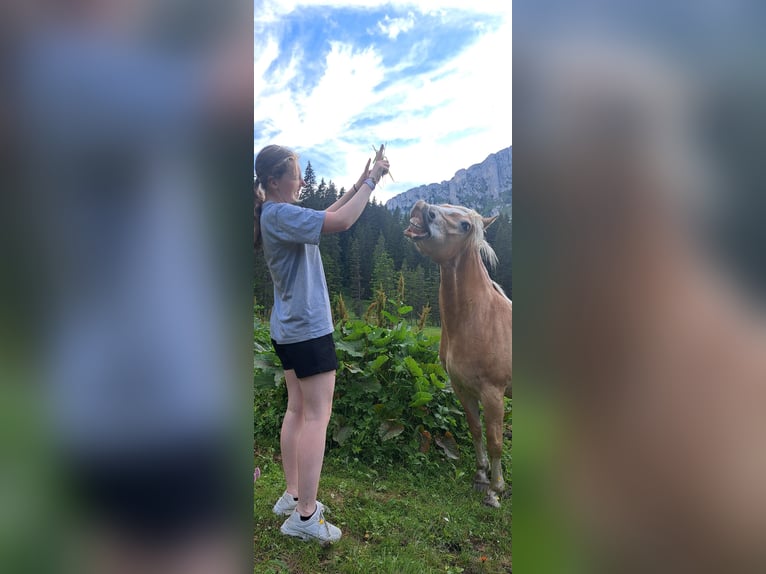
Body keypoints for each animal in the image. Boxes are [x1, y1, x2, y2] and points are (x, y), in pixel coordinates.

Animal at [404, 201, 512, 508]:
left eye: (465, 225)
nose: (422, 208)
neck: (480, 317)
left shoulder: (493, 393)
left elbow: (495, 439)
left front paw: (495, 490)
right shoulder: (463, 389)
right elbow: (476, 430)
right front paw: (481, 477)